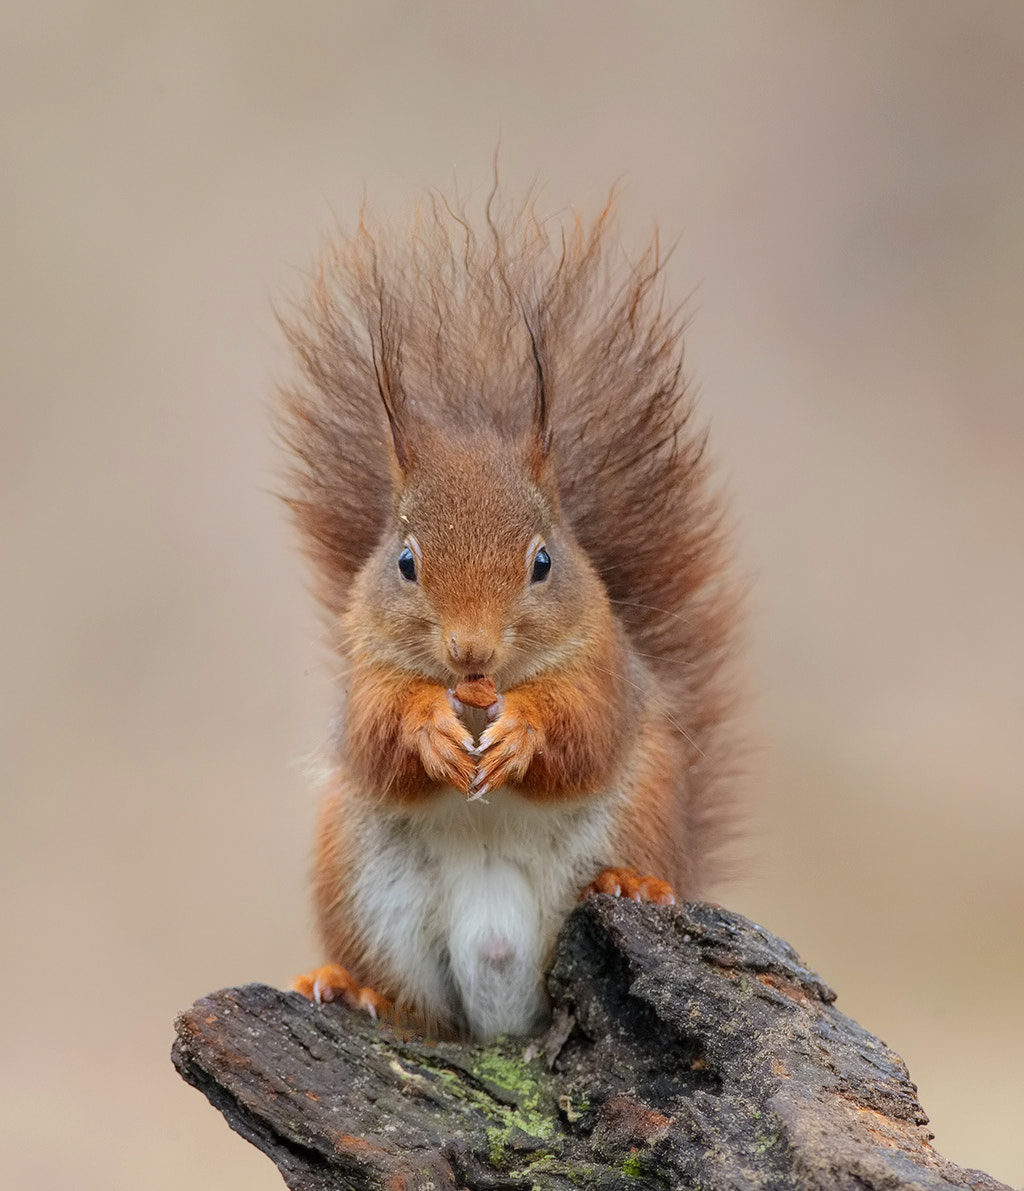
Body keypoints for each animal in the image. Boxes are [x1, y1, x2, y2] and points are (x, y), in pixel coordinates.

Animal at [279, 190, 738, 1038]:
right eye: (406, 562)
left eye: (543, 563)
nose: (471, 652)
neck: (478, 692)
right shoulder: (364, 674)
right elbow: (375, 734)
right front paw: (426, 727)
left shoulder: (605, 666)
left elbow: (584, 728)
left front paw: (524, 729)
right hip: (363, 883)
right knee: (420, 1012)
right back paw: (354, 988)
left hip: (641, 812)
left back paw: (633, 883)